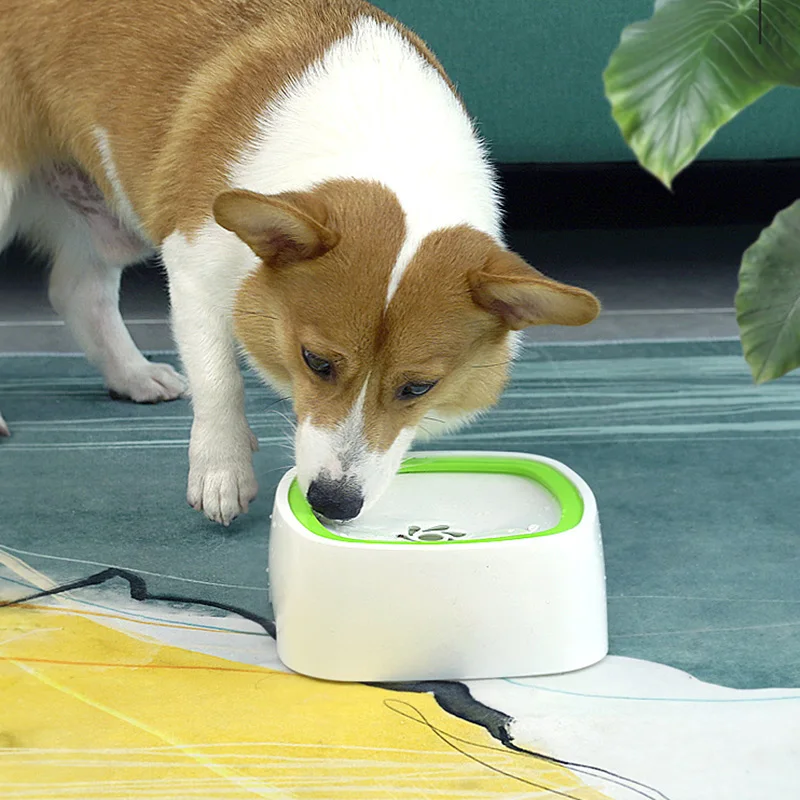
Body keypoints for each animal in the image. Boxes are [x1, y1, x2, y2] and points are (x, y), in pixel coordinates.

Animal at [0, 0, 596, 524]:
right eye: (316, 362)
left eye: (418, 388)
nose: (334, 504)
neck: (384, 141)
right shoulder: (193, 267)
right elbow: (219, 380)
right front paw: (222, 471)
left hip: (111, 216)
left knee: (78, 291)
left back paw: (133, 374)